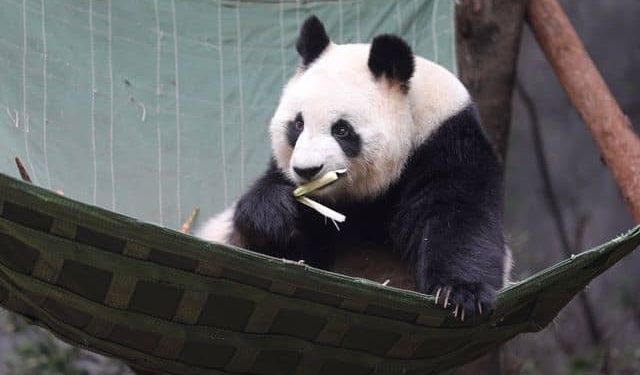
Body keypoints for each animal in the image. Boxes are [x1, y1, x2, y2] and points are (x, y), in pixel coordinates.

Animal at [198, 16, 512, 318]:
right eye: (298, 124)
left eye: (342, 130)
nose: (307, 170)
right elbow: (287, 249)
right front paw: (272, 214)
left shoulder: (446, 141)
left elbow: (458, 215)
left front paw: (461, 294)